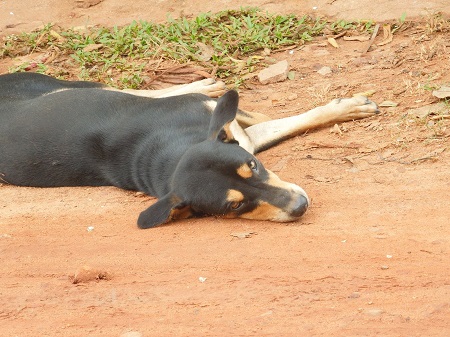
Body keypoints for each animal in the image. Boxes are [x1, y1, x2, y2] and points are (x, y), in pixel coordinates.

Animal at [0, 72, 380, 227]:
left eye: (253, 166)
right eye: (234, 206)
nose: (301, 206)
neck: (175, 148)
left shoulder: (237, 135)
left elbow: (295, 119)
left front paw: (347, 108)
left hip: (74, 86)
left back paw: (204, 84)